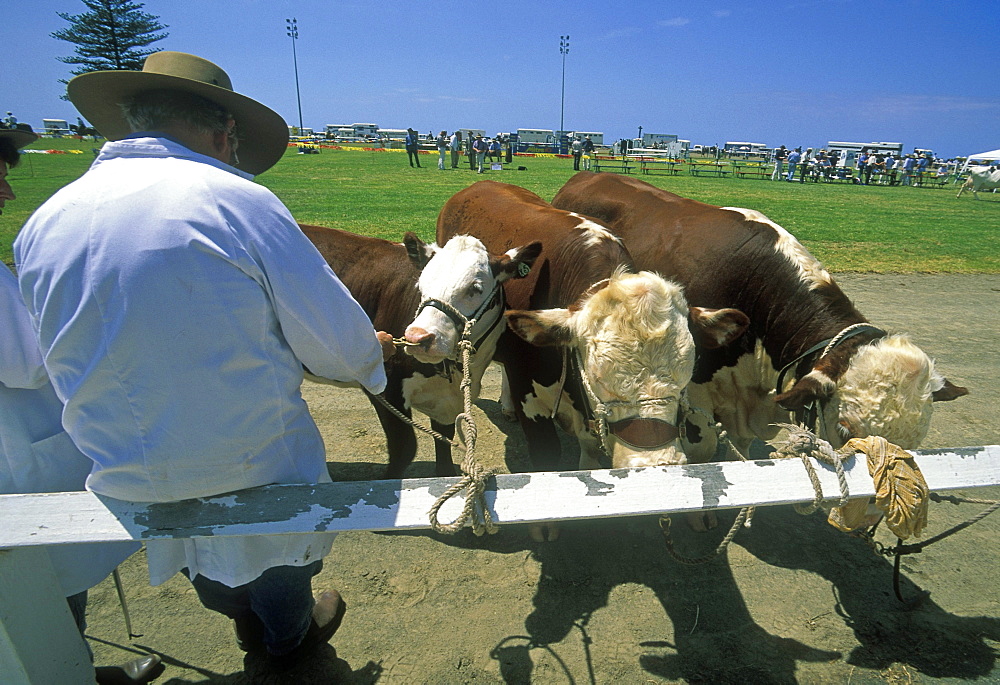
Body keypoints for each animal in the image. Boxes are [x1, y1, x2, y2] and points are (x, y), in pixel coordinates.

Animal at [302, 223, 540, 476]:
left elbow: (444, 445)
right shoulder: (384, 386)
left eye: (475, 288)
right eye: (421, 285)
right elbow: (404, 449)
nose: (418, 337)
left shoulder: (446, 401)